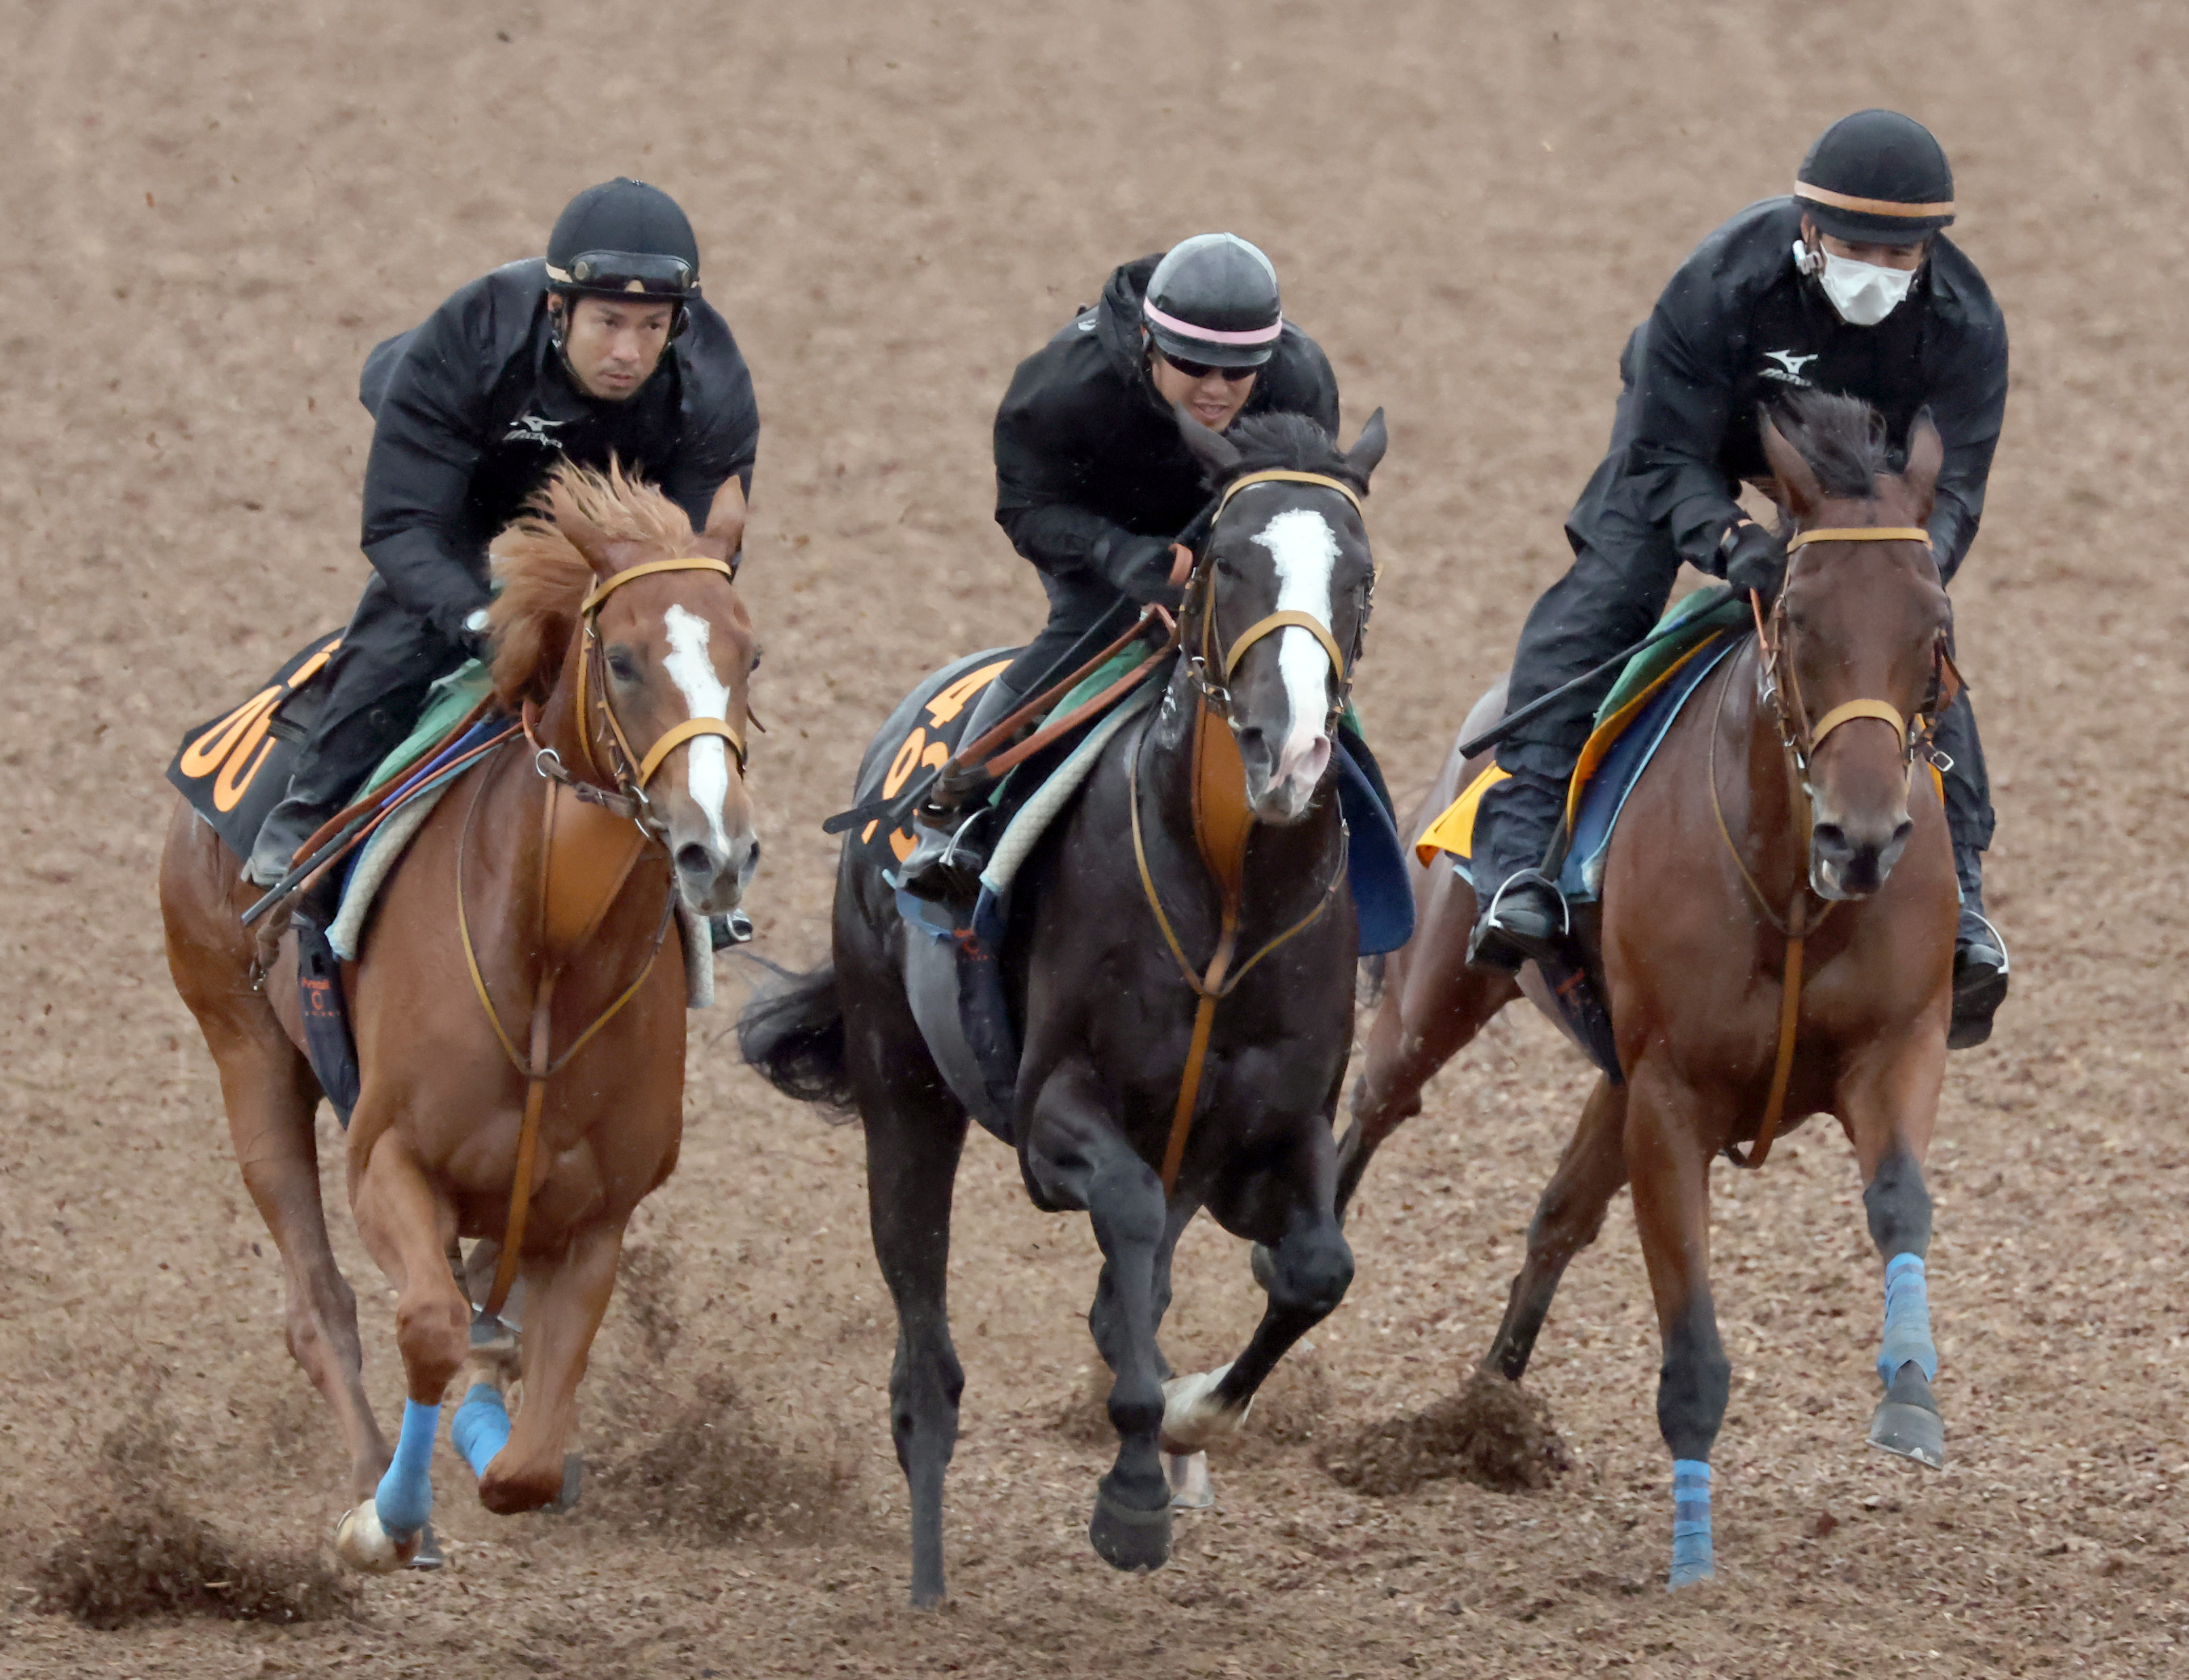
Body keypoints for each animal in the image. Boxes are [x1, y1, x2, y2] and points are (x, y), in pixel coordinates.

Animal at [154, 464, 753, 1575]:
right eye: (621, 658)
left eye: (751, 654)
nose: (716, 846)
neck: (550, 955)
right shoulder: (388, 1158)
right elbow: (429, 1324)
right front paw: (386, 1520)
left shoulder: (596, 1217)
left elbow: (525, 1454)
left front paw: (500, 1438)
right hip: (243, 1048)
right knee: (323, 1304)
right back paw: (370, 1476)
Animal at [1339, 394, 1961, 1592]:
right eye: (1798, 617)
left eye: (1933, 624)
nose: (1863, 839)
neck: (1792, 893)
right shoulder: (1672, 1098)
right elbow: (1691, 1342)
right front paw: (1690, 1556)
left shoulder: (1894, 1044)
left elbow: (1900, 1200)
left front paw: (1910, 1393)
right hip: (1439, 992)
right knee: (1369, 1111)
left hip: (1611, 1073)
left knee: (1555, 1218)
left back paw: (1486, 1414)